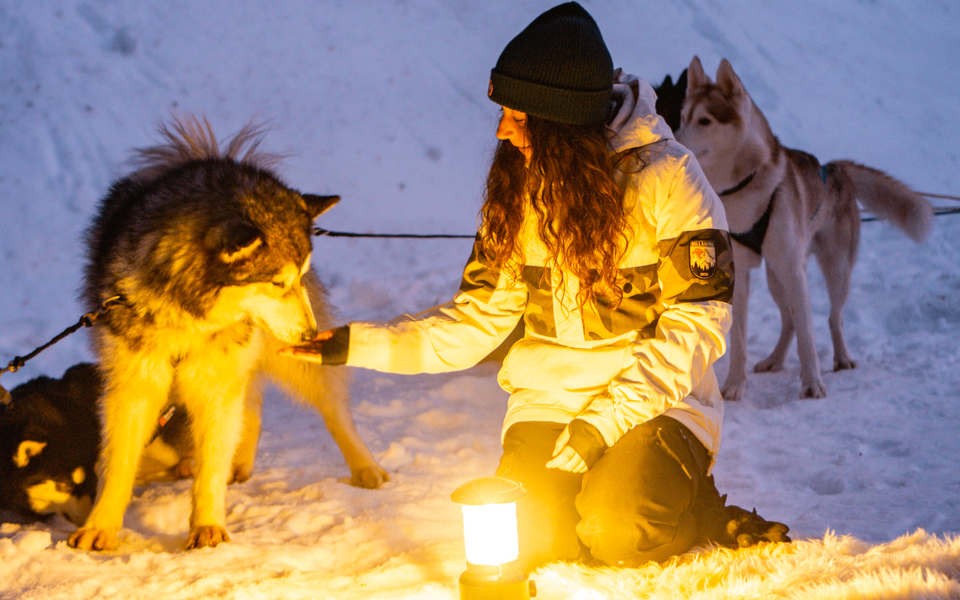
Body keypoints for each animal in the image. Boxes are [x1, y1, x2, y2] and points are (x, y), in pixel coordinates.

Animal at [64, 115, 390, 552]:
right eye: (278, 283)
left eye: (300, 277)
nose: (310, 334)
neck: (187, 309)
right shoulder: (135, 380)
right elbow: (119, 460)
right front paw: (101, 526)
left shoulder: (215, 381)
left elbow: (210, 462)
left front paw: (207, 524)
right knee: (251, 403)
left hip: (282, 359)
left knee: (330, 408)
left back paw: (365, 467)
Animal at [676, 57, 928, 404]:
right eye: (683, 117)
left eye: (705, 121)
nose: (673, 139)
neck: (743, 188)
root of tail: (836, 169)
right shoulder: (740, 275)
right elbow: (740, 339)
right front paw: (735, 385)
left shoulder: (795, 272)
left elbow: (809, 336)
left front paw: (812, 384)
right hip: (776, 278)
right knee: (790, 321)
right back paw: (775, 360)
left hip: (831, 270)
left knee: (832, 317)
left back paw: (842, 358)